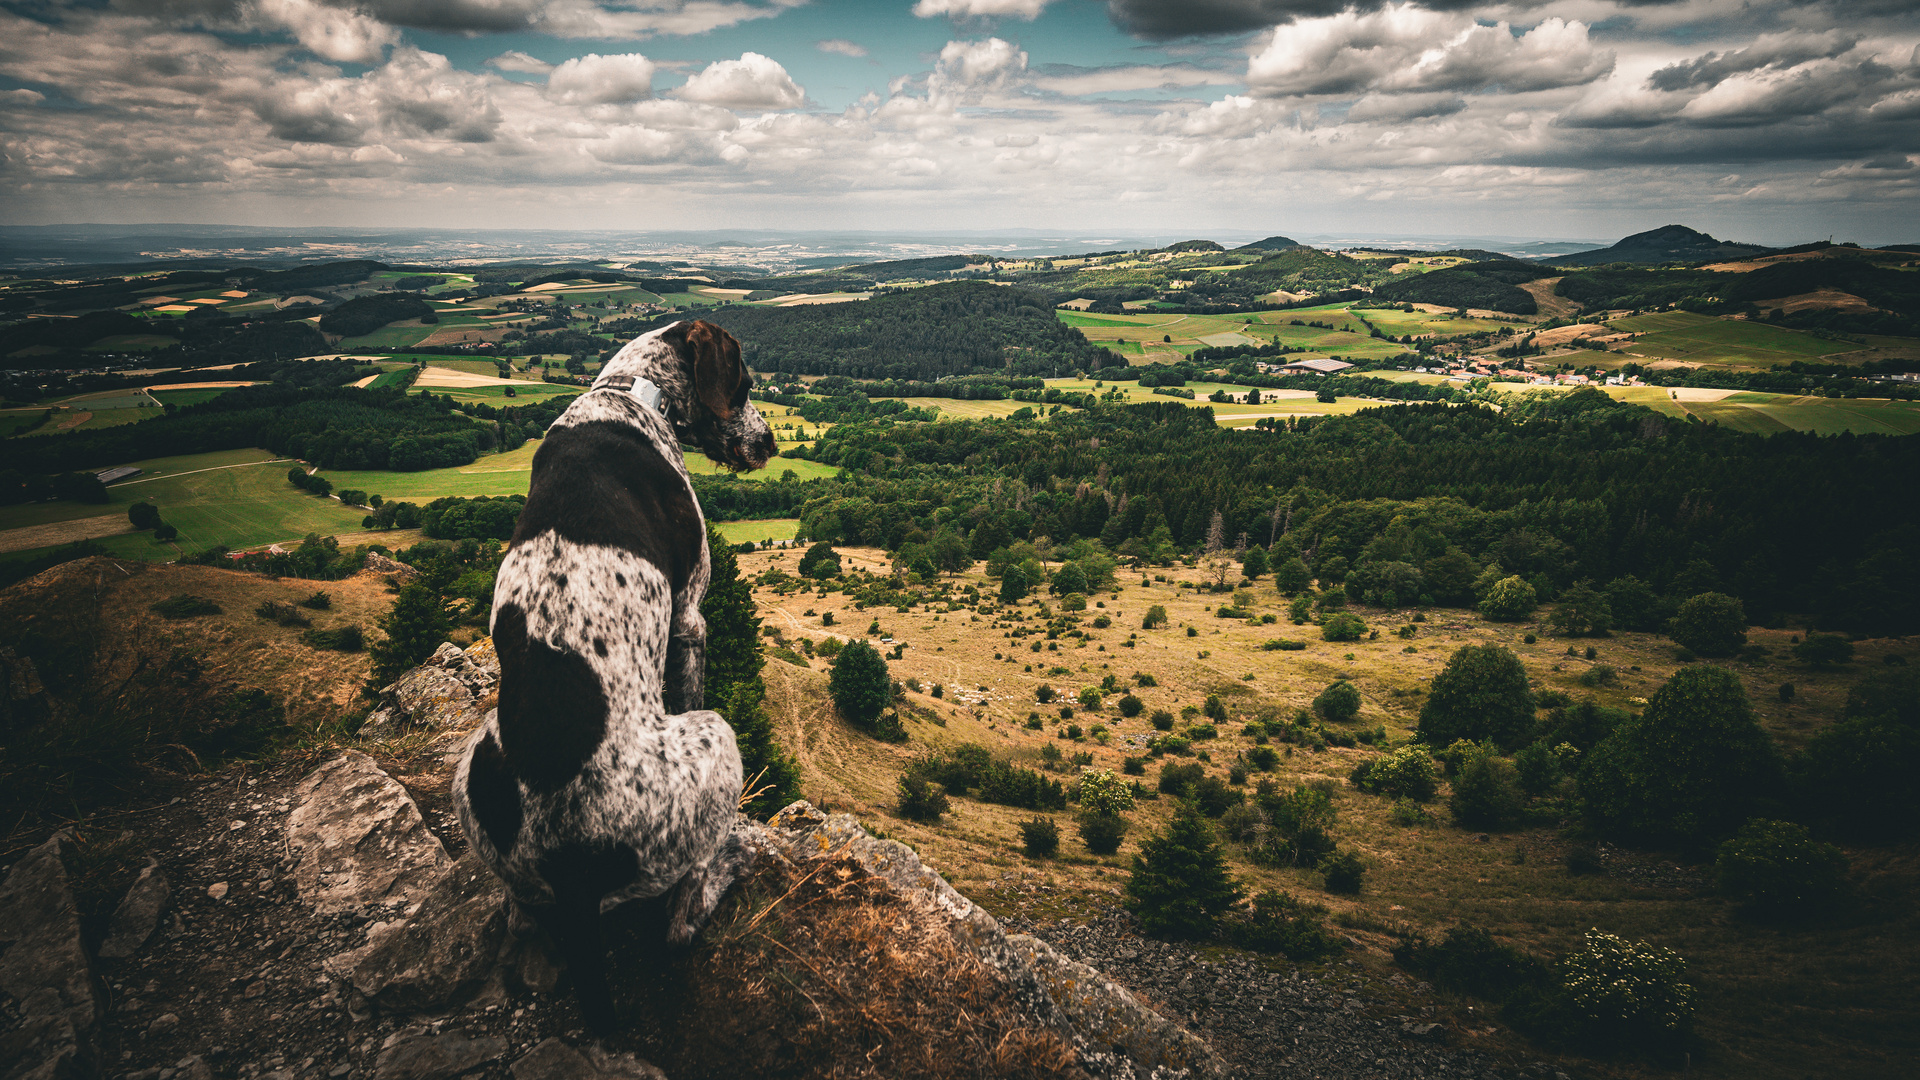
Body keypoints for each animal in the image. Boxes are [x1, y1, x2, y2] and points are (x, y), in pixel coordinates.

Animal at [449, 317, 771, 1022]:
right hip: (716, 739)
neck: (629, 392)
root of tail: (566, 859)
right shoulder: (690, 616)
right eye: (743, 385)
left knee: (518, 915)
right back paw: (731, 858)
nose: (770, 441)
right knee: (679, 923)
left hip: (470, 768)